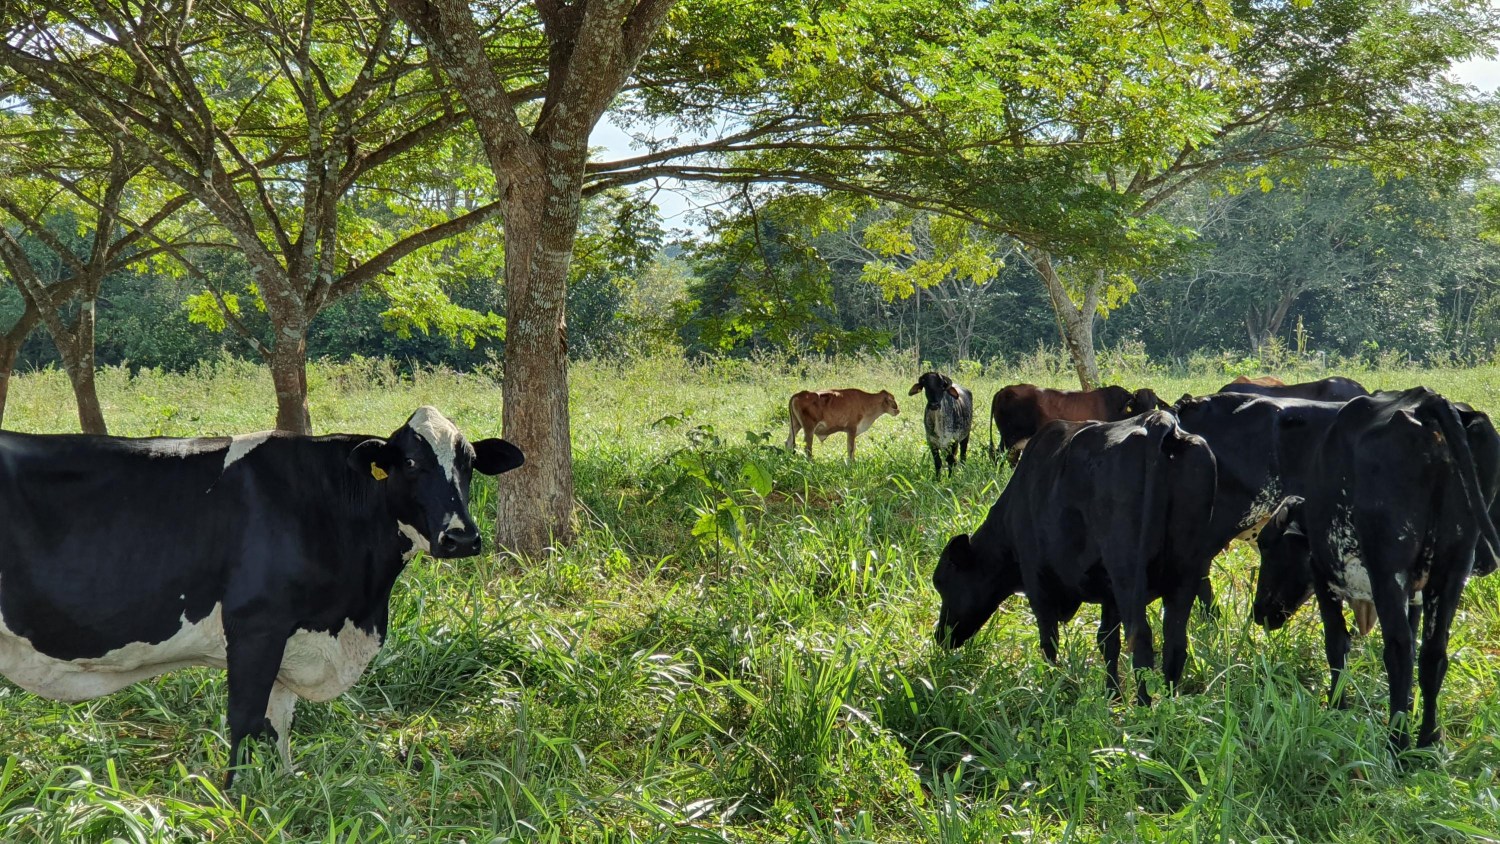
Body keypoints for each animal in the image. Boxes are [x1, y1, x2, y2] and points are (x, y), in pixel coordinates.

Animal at [0, 407, 525, 785]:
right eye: (412, 463)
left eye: (470, 465)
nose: (461, 538)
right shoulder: (256, 625)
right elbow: (246, 718)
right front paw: (234, 799)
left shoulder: (293, 638)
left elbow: (280, 721)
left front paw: (286, 785)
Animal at [936, 413, 1218, 704]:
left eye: (943, 583)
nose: (940, 636)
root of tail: (1159, 422)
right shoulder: (1108, 593)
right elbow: (1107, 641)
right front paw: (1112, 696)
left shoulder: (1037, 582)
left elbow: (1048, 641)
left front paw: (1051, 690)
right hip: (1186, 571)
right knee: (1175, 639)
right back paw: (1170, 704)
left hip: (1128, 574)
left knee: (1140, 637)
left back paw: (1143, 707)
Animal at [1254, 389, 1500, 752]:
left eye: (1268, 548)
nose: (1258, 612)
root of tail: (1427, 403)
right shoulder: (1415, 592)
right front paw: (1408, 706)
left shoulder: (1324, 575)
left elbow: (1336, 644)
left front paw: (1336, 706)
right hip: (1453, 567)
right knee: (1432, 653)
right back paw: (1428, 740)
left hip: (1387, 570)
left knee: (1398, 650)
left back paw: (1397, 743)